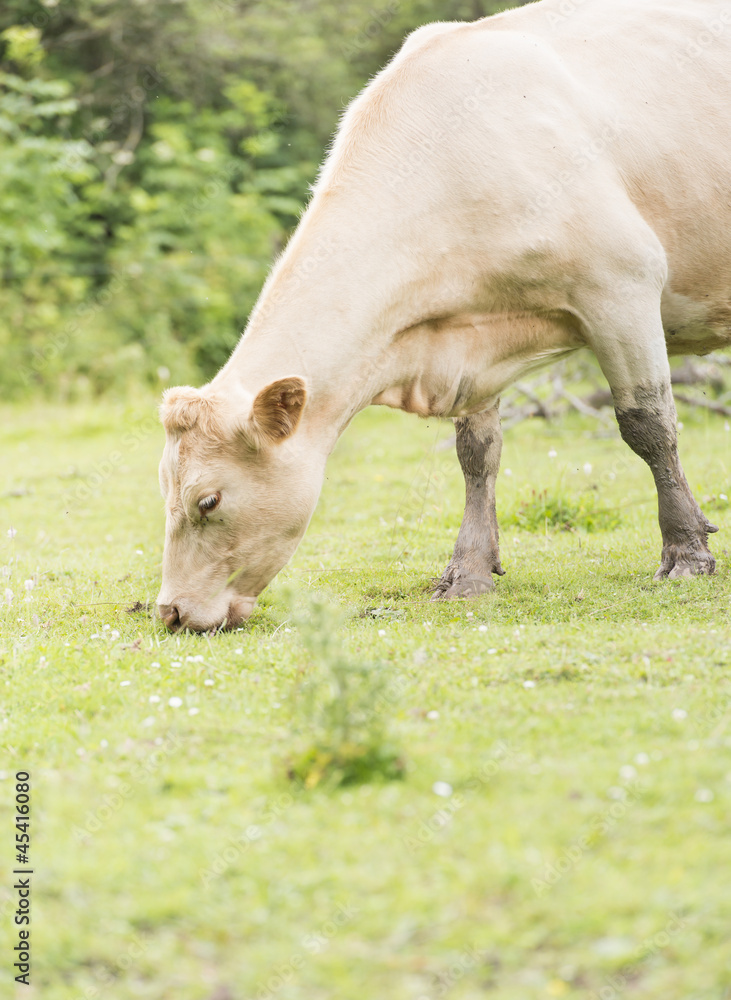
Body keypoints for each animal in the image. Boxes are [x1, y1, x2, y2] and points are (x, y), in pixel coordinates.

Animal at [157, 0, 731, 632]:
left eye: (208, 500)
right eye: (164, 490)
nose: (171, 611)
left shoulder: (621, 286)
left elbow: (648, 426)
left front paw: (687, 553)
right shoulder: (471, 335)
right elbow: (477, 455)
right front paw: (469, 572)